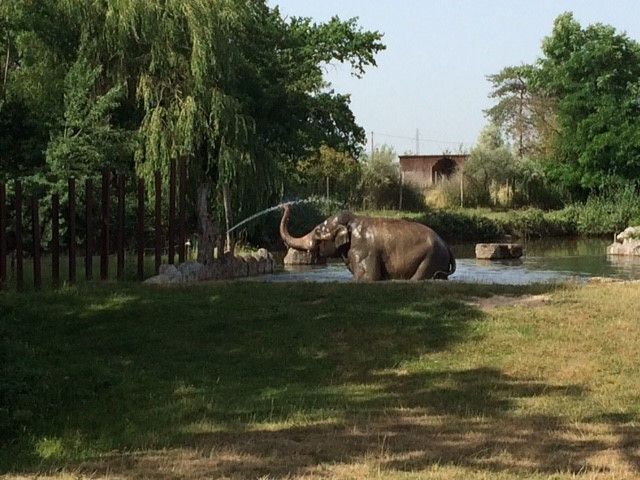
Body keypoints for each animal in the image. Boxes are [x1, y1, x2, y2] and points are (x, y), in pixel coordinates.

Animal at [280, 205, 456, 282]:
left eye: (317, 232)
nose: (285, 205)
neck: (353, 220)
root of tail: (447, 246)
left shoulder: (362, 251)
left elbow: (368, 277)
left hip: (431, 258)